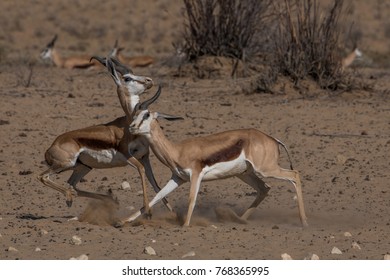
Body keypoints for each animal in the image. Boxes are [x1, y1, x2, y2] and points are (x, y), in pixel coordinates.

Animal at [38, 56, 172, 214]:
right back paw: (70, 198)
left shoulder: (144, 157)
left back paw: (109, 199)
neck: (128, 123)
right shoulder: (128, 156)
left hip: (83, 167)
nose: (149, 80)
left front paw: (172, 211)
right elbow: (142, 170)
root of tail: (51, 148)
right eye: (127, 78)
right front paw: (147, 211)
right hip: (65, 164)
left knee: (72, 184)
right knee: (43, 177)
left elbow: (155, 183)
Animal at [120, 87, 310, 228]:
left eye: (146, 115)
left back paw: (304, 222)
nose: (131, 127)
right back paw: (239, 220)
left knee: (295, 175)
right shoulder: (178, 178)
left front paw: (185, 225)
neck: (177, 151)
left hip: (265, 169)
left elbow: (192, 199)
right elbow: (157, 196)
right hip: (245, 173)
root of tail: (271, 139)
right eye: (135, 115)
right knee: (264, 188)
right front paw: (124, 221)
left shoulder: (196, 175)